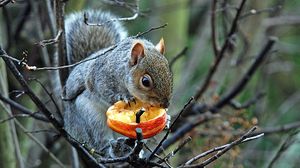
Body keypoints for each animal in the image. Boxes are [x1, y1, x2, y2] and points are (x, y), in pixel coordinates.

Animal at [62, 10, 173, 152]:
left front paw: (167, 119)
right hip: (89, 116)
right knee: (99, 140)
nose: (165, 105)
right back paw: (113, 148)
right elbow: (103, 91)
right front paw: (124, 97)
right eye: (145, 81)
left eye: (170, 73)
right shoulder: (100, 77)